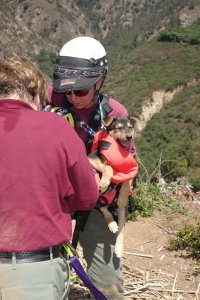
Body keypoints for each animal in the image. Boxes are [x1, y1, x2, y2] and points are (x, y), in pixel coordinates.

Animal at [89, 115, 139, 258]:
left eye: (131, 127)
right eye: (119, 128)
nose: (129, 137)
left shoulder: (133, 169)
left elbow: (128, 178)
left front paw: (122, 197)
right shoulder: (92, 158)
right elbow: (109, 167)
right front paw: (104, 181)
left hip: (123, 211)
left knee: (121, 228)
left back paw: (118, 247)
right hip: (98, 200)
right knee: (104, 209)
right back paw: (112, 224)